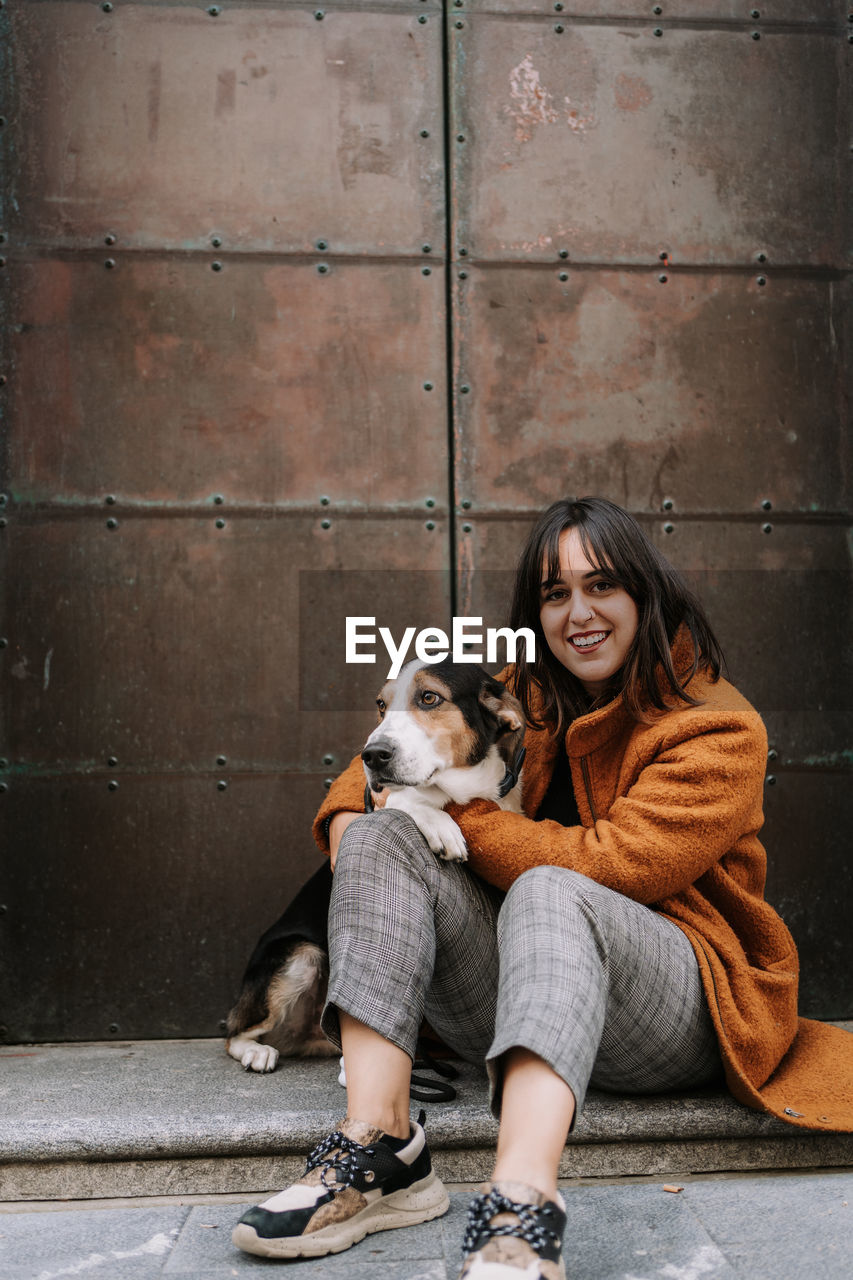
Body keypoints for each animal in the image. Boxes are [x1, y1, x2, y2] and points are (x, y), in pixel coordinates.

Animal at [222, 660, 522, 1070]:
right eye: (381, 704)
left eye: (430, 698)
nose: (372, 754)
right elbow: (403, 799)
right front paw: (437, 822)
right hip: (301, 955)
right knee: (233, 1032)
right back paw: (257, 1052)